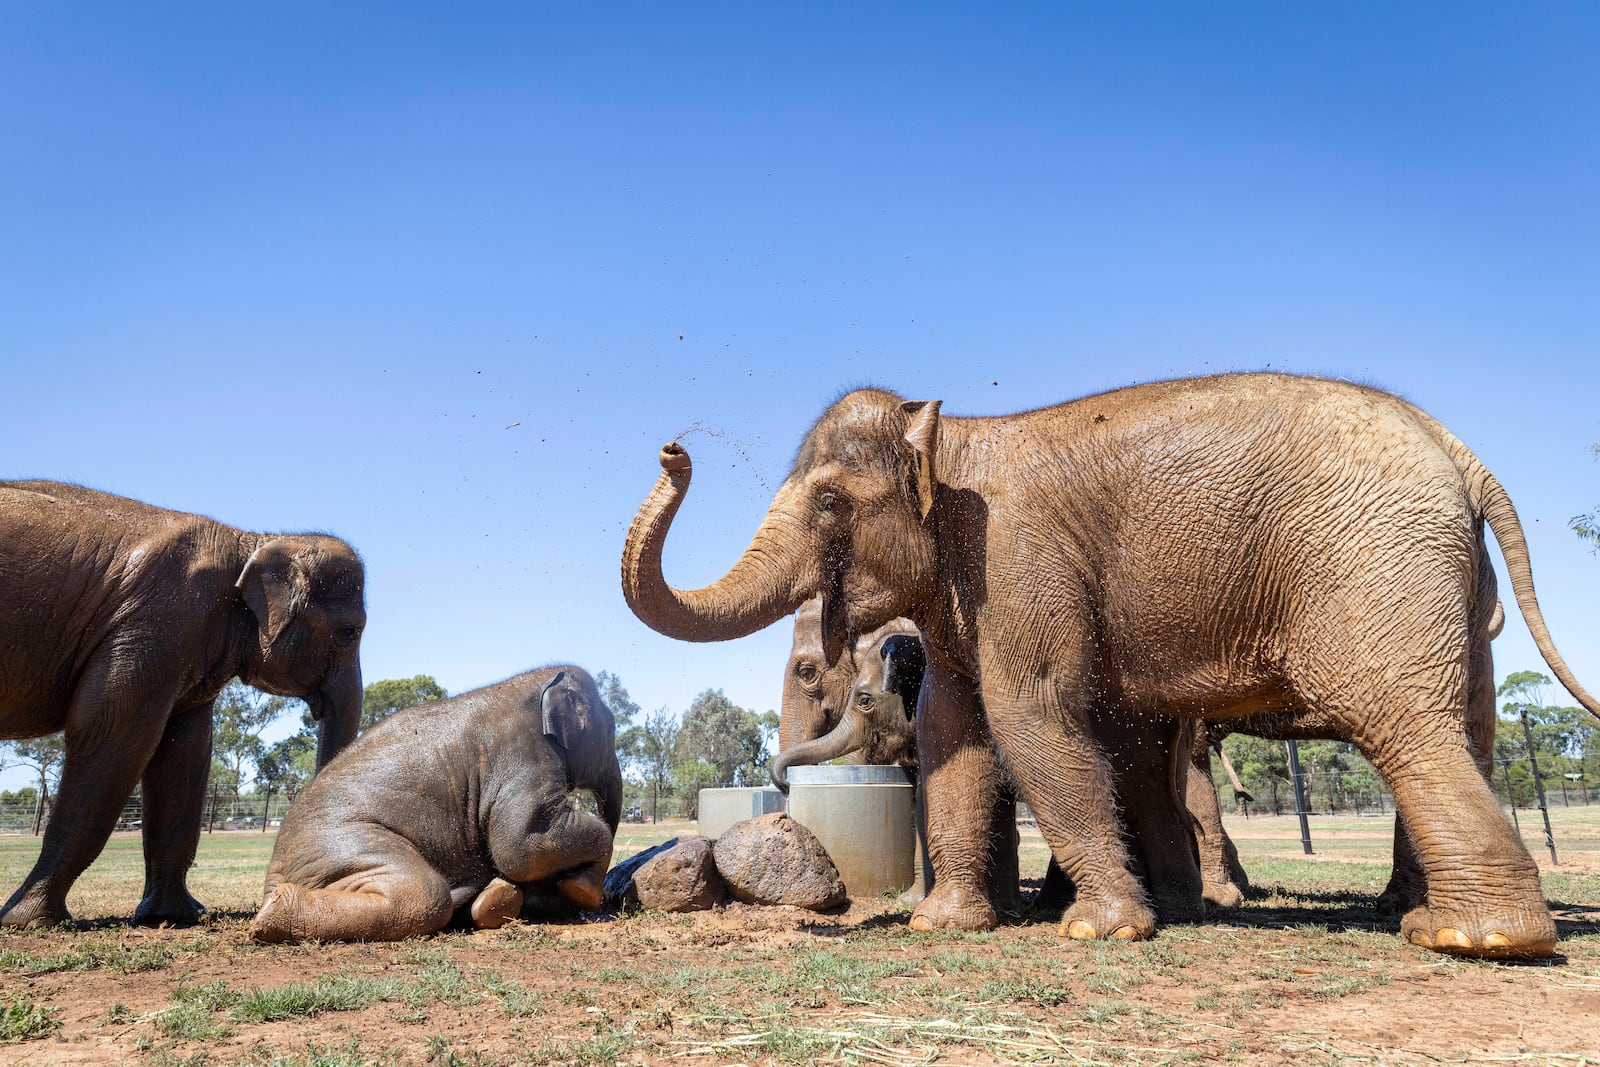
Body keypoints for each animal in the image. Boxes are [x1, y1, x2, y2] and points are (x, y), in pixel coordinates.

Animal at [0, 483, 366, 927]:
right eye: (349, 633)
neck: (249, 542)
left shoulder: (183, 643)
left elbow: (184, 755)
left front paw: (175, 915)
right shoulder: (157, 623)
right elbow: (112, 735)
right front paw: (29, 919)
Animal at [252, 662, 620, 947]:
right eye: (613, 727)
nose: (594, 896)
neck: (530, 681)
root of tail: (273, 874)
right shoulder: (524, 758)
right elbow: (523, 845)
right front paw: (582, 891)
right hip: (340, 843)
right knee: (426, 894)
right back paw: (272, 912)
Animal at [624, 375, 1600, 959]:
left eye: (829, 501)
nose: (675, 447)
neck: (958, 435)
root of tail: (1462, 452)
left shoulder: (1020, 566)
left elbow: (1030, 718)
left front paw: (1099, 930)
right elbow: (955, 733)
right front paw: (947, 924)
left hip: (1373, 566)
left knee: (1405, 725)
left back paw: (1475, 938)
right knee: (1461, 731)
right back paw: (1424, 916)